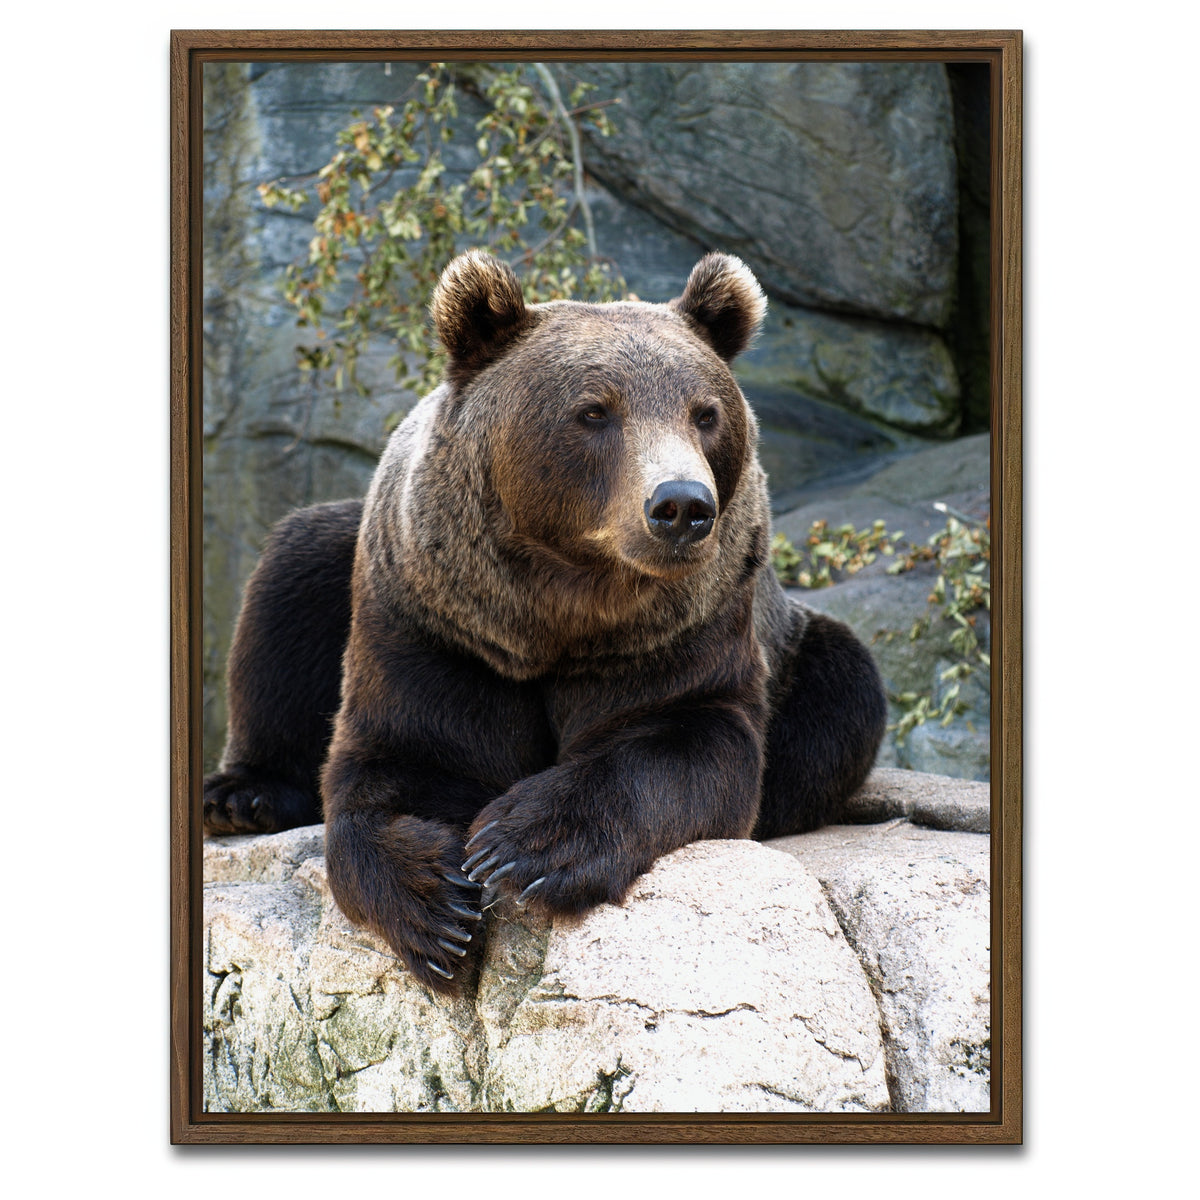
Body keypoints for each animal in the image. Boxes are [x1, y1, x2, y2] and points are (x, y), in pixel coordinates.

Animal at [203, 250, 887, 994]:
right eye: (594, 411)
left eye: (705, 413)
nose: (681, 505)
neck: (557, 612)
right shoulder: (436, 625)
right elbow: (399, 759)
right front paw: (436, 907)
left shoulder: (680, 632)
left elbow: (689, 742)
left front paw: (523, 845)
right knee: (292, 575)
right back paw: (243, 795)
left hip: (796, 649)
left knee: (842, 694)